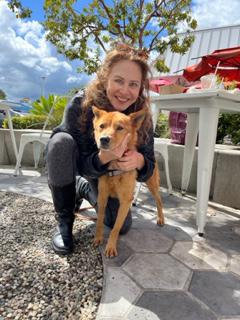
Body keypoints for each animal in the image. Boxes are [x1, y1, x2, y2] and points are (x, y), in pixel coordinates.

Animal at [91, 106, 163, 256]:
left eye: (120, 128)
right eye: (101, 126)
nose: (104, 139)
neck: (115, 165)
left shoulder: (125, 200)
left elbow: (116, 227)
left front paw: (111, 246)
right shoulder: (102, 196)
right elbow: (100, 220)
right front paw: (98, 238)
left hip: (152, 184)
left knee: (159, 201)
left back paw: (161, 218)